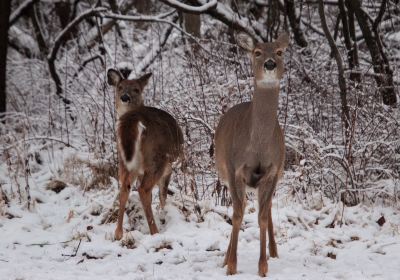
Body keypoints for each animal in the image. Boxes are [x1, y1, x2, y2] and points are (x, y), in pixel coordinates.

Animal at [108, 69, 185, 240]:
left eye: (136, 89)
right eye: (120, 87)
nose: (125, 97)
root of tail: (133, 118)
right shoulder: (170, 167)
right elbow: (163, 194)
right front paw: (164, 213)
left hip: (125, 160)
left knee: (125, 187)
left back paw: (118, 233)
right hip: (157, 159)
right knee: (144, 189)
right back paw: (155, 232)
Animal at [216, 32, 288, 276]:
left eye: (279, 51)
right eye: (257, 52)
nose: (270, 64)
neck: (257, 145)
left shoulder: (272, 171)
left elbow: (263, 216)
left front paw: (263, 266)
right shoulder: (234, 169)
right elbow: (237, 214)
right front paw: (231, 265)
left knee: (265, 209)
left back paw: (274, 252)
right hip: (225, 173)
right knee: (239, 207)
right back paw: (224, 258)